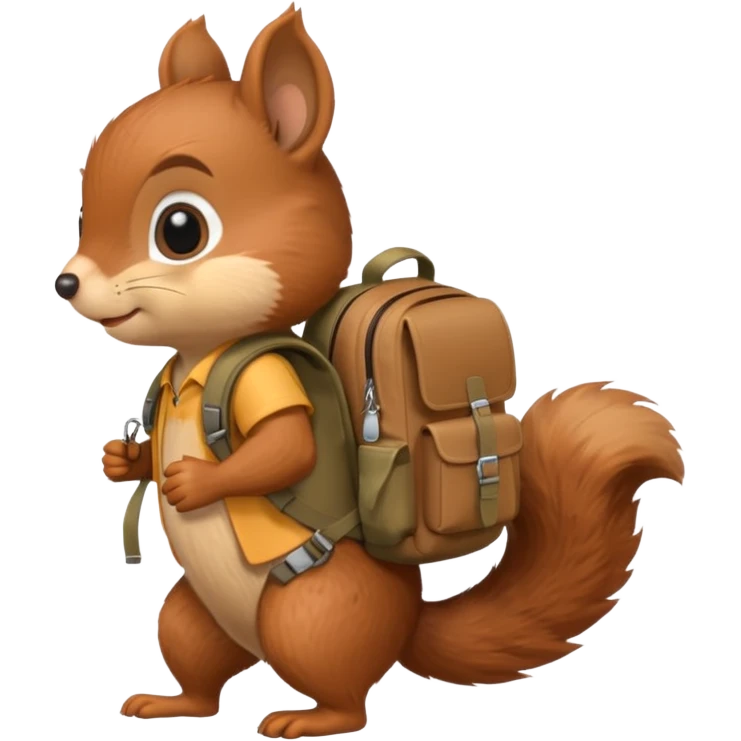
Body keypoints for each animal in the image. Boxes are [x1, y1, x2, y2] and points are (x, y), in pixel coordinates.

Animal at [58, 5, 685, 737]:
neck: (201, 358)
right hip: (189, 617)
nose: (67, 281)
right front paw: (124, 461)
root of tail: (405, 623)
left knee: (348, 695)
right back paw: (171, 702)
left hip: (314, 615)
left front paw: (196, 480)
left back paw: (307, 718)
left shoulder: (267, 379)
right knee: (203, 674)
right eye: (81, 213)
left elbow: (284, 449)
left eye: (180, 229)